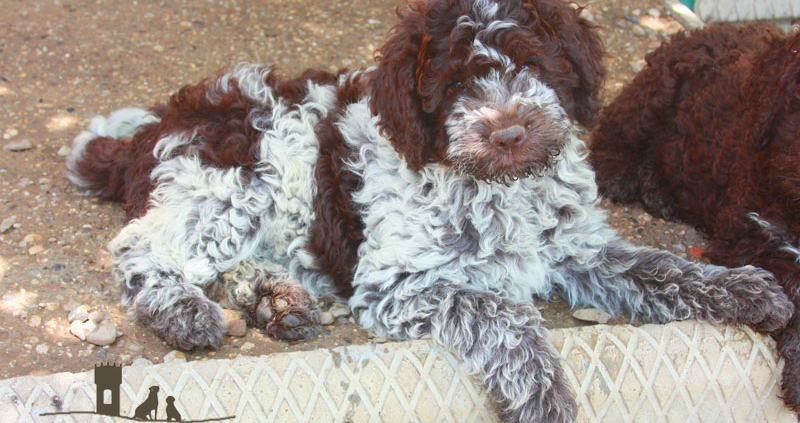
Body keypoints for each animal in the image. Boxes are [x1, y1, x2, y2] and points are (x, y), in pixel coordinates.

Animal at [65, 1, 792, 422]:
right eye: (457, 84)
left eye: (532, 66)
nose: (510, 133)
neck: (499, 185)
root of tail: (148, 132)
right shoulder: (400, 283)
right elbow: (504, 314)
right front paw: (544, 395)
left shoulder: (577, 248)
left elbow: (660, 267)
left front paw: (745, 289)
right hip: (240, 181)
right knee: (140, 248)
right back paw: (184, 311)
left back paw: (277, 299)